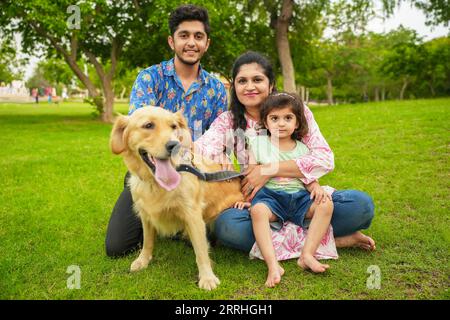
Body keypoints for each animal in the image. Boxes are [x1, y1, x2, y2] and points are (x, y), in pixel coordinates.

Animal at [110, 107, 243, 290]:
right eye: (148, 125)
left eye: (173, 126)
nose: (174, 145)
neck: (157, 184)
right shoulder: (145, 214)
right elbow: (147, 240)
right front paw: (143, 260)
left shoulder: (193, 215)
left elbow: (201, 250)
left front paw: (207, 277)